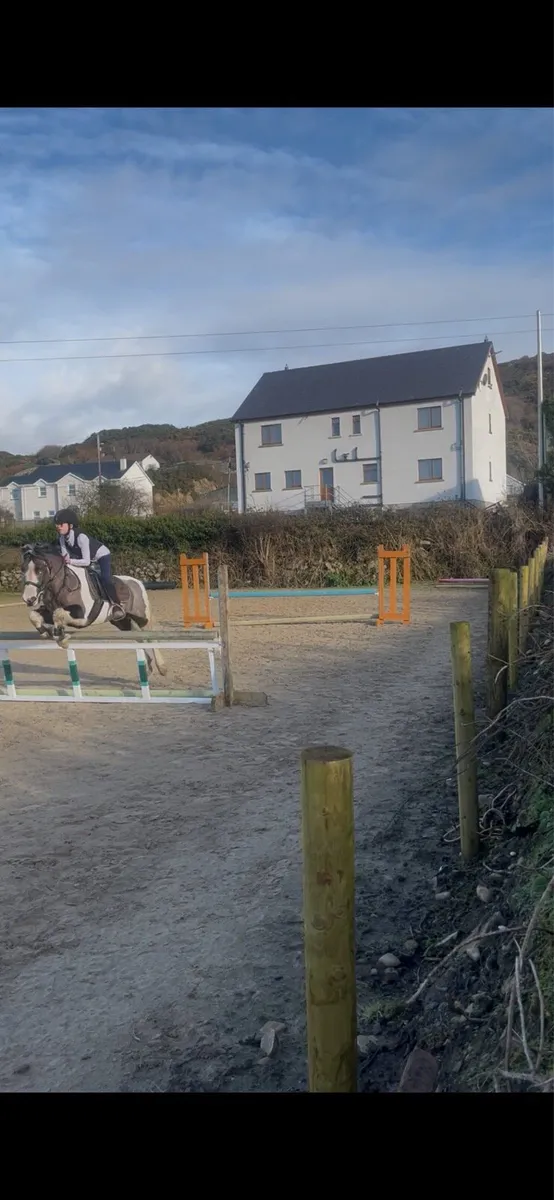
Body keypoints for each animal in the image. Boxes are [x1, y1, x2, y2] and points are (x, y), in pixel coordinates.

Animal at [21, 543, 167, 677]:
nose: (29, 599)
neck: (63, 584)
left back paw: (161, 667)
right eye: (23, 570)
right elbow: (34, 615)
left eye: (40, 570)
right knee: (139, 637)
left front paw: (62, 638)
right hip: (122, 621)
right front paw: (46, 633)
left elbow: (58, 613)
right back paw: (149, 667)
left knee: (150, 635)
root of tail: (138, 582)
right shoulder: (50, 611)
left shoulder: (83, 616)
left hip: (141, 617)